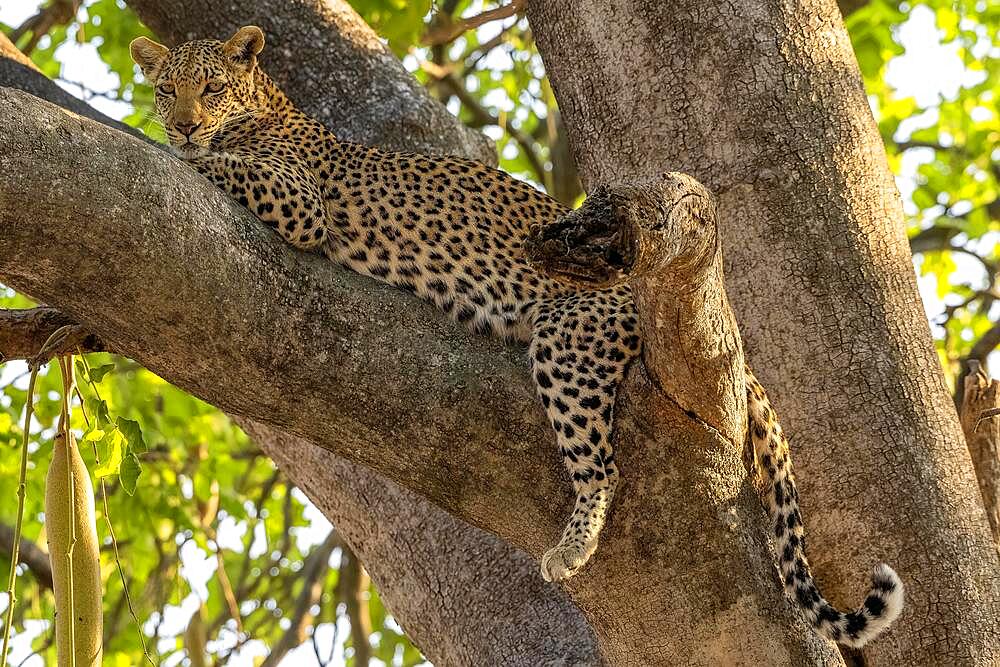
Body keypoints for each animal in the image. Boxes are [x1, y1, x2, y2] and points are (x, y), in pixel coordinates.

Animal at [129, 26, 904, 648]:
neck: (266, 107)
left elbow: (220, 165)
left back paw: (572, 546)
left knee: (602, 466)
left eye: (212, 86)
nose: (185, 124)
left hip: (569, 340)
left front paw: (170, 149)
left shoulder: (299, 200)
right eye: (167, 89)